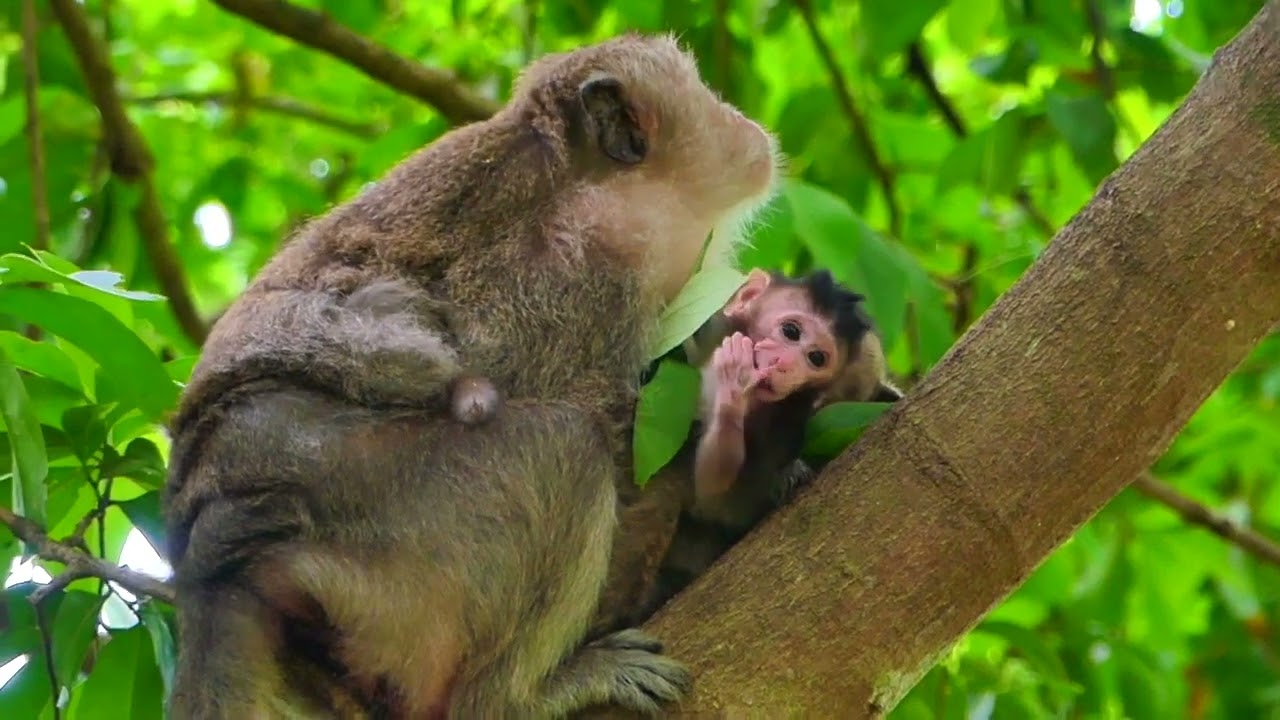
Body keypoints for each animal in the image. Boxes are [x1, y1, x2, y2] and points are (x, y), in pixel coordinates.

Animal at [162, 33, 780, 719]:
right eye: (701, 91)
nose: (739, 116)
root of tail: (208, 570)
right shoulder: (578, 272)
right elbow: (619, 442)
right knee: (564, 445)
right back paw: (518, 696)